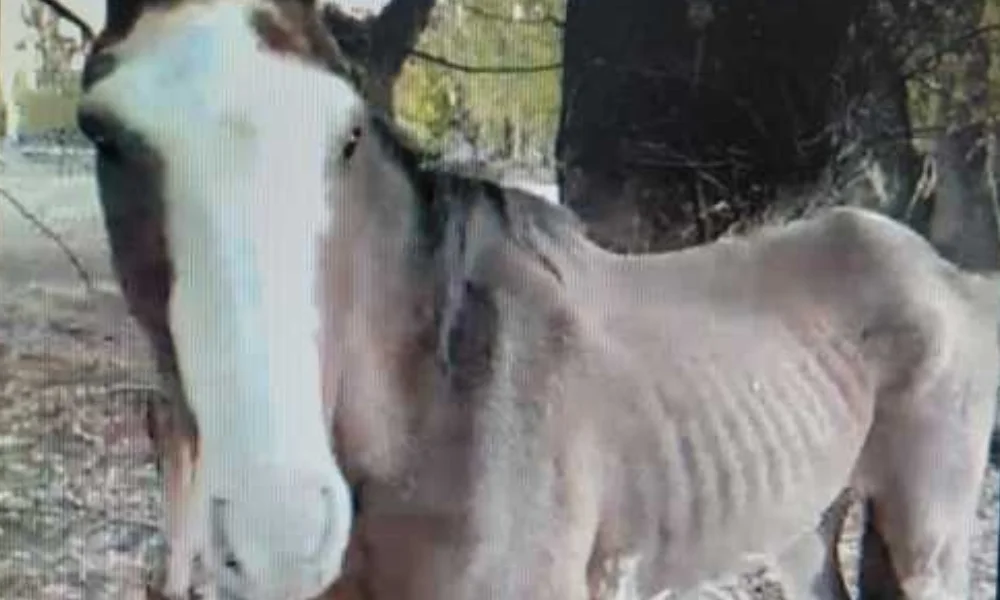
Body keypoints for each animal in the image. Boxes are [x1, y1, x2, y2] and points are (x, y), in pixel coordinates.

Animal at [76, 0, 1000, 598]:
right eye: (105, 134)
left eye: (347, 134)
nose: (281, 532)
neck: (437, 410)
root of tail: (949, 274)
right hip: (805, 523)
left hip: (928, 537)